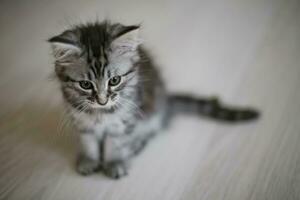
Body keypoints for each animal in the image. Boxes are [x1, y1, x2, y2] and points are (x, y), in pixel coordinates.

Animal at [48, 20, 258, 180]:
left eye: (114, 80)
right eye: (85, 84)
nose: (102, 101)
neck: (101, 113)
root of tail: (168, 102)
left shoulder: (124, 122)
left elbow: (116, 145)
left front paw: (115, 163)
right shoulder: (82, 123)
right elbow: (89, 143)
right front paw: (89, 161)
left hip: (151, 115)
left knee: (149, 133)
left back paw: (134, 146)